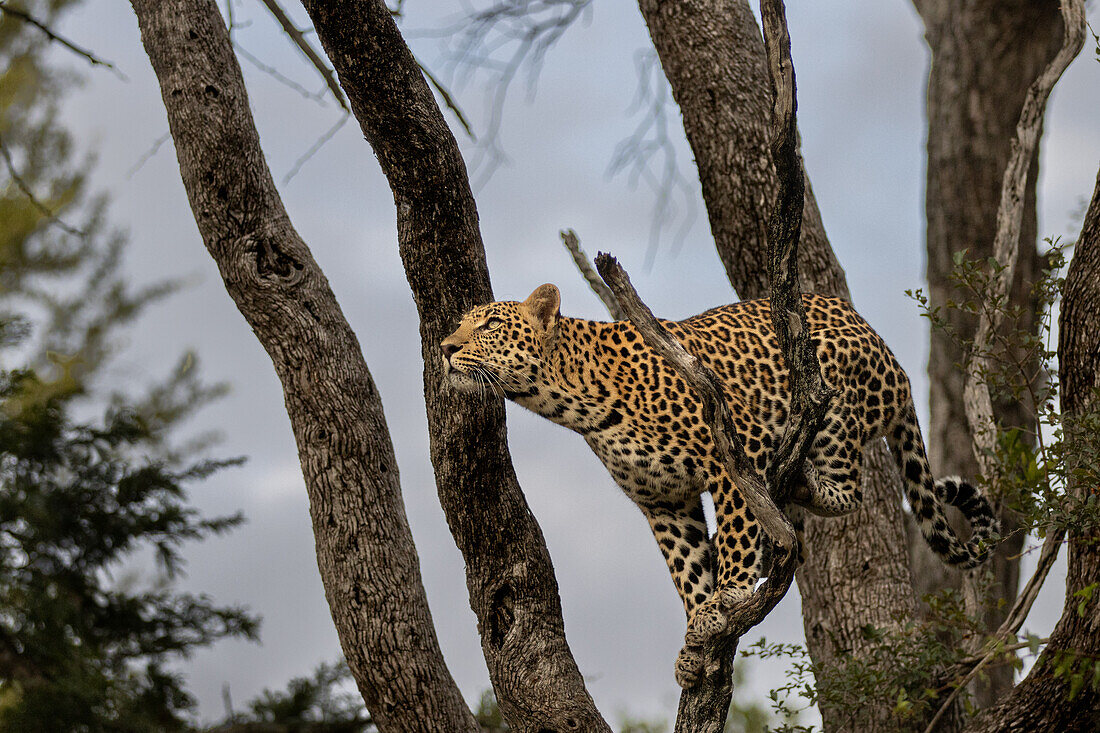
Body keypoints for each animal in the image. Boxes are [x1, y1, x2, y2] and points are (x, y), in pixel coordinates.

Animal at [435, 280, 998, 686]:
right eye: (460, 325)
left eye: (489, 324)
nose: (443, 347)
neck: (573, 400)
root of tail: (892, 357)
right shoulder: (664, 502)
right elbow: (686, 567)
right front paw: (693, 639)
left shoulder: (736, 451)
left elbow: (734, 534)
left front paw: (724, 597)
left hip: (833, 401)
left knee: (847, 490)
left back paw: (805, 488)